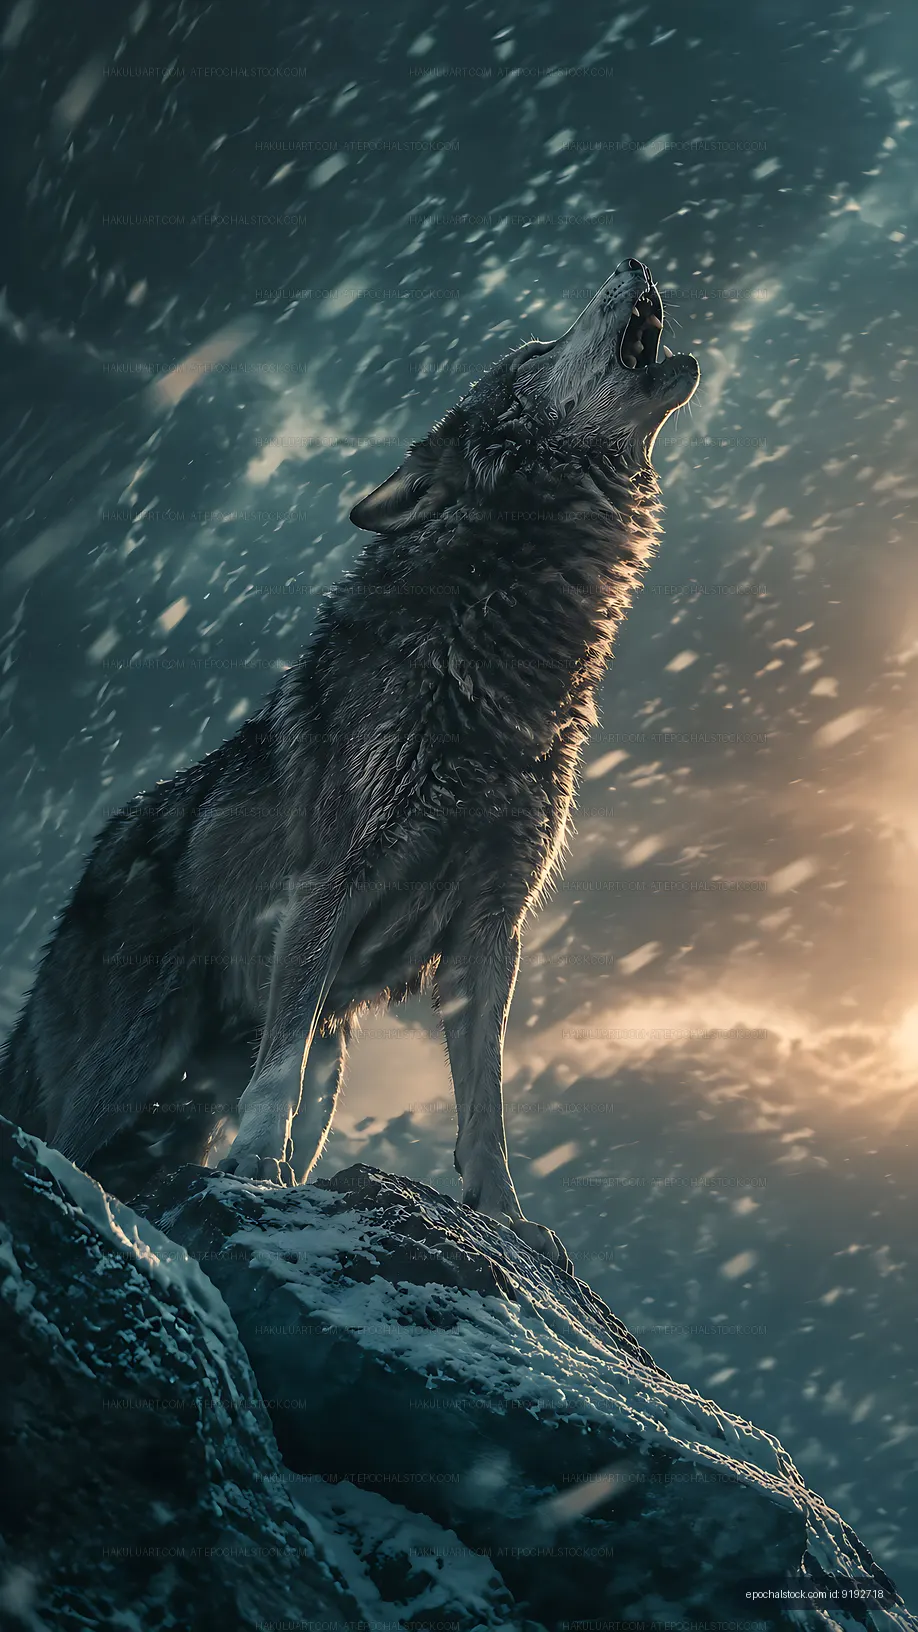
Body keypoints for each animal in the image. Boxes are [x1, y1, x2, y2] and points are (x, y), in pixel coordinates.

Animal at [0, 258, 698, 1264]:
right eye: (535, 350)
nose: (635, 259)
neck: (506, 650)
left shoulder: (492, 929)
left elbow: (486, 1102)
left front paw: (505, 1219)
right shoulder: (328, 889)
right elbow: (278, 1069)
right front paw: (257, 1168)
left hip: (302, 1059)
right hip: (134, 1064)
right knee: (76, 1146)